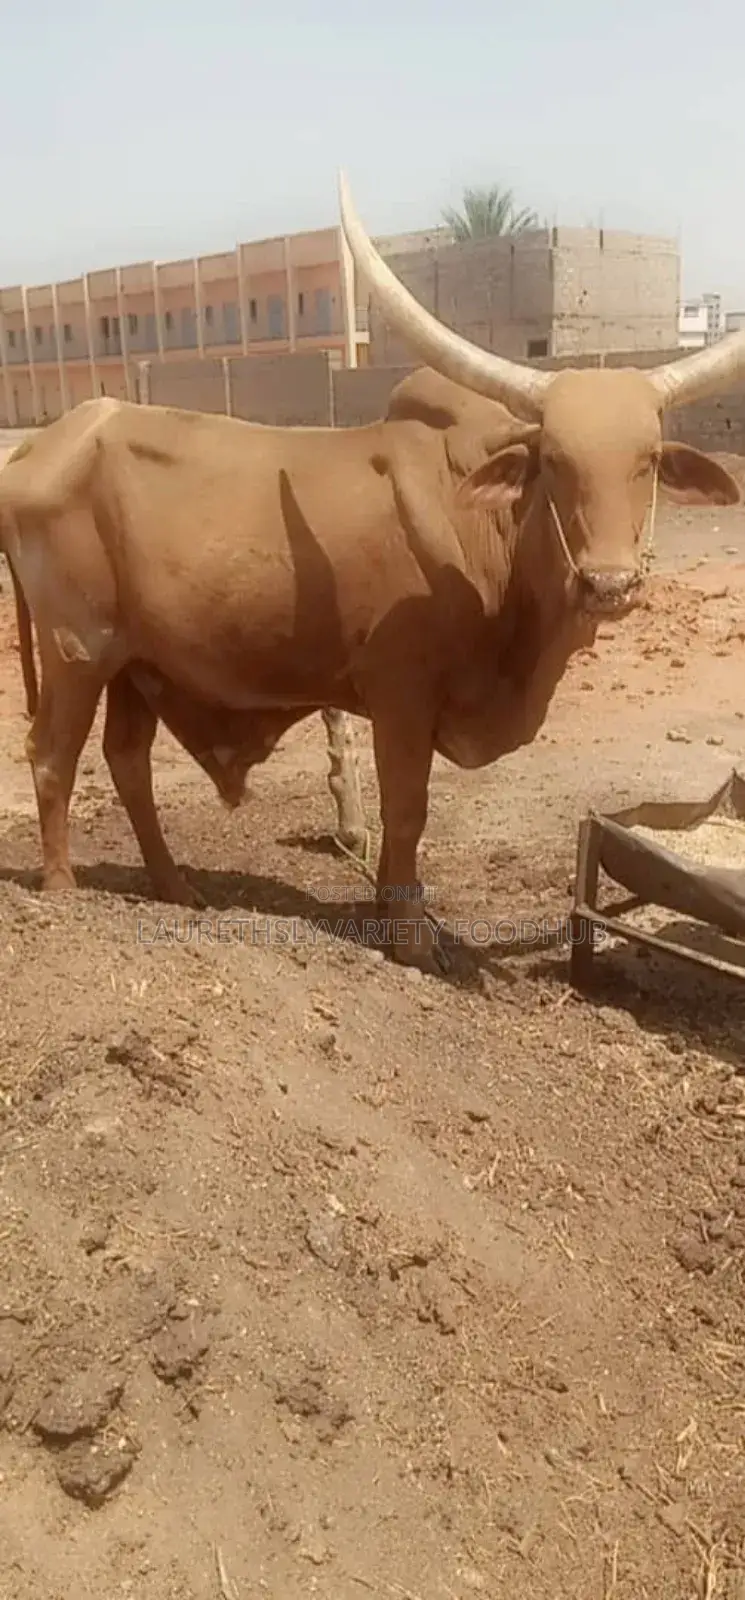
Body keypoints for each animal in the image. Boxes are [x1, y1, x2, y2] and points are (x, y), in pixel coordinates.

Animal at [0, 176, 743, 973]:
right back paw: (64, 891)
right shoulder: (400, 693)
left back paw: (175, 888)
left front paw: (393, 914)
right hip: (78, 650)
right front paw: (410, 939)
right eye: (554, 459)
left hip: (138, 663)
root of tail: (45, 443)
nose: (608, 584)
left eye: (648, 460)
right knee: (51, 757)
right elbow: (406, 809)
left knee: (127, 762)